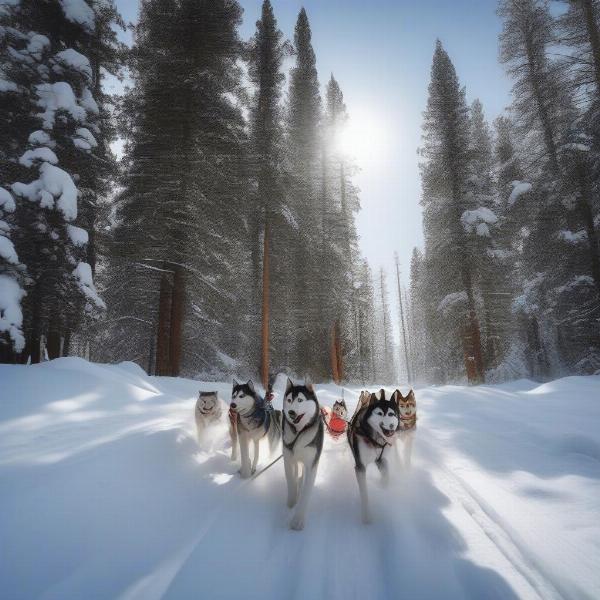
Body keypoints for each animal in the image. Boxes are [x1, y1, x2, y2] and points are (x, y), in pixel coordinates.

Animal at [282, 380, 324, 528]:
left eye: (300, 400)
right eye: (289, 400)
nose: (291, 412)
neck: (299, 433)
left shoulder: (311, 465)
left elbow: (306, 493)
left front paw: (298, 519)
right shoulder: (288, 460)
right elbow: (291, 480)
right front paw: (292, 501)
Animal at [350, 390, 400, 524]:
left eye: (391, 414)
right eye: (380, 413)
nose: (391, 425)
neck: (376, 440)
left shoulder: (381, 460)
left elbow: (386, 476)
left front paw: (383, 487)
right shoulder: (360, 467)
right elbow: (364, 494)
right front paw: (366, 515)